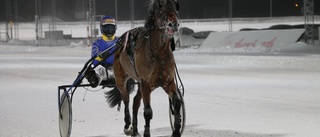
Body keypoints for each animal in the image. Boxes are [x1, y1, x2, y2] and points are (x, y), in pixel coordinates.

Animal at [105, 0, 181, 136]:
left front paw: (176, 131)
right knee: (126, 99)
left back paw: (135, 130)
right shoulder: (146, 84)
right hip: (121, 79)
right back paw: (128, 126)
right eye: (161, 10)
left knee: (135, 102)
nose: (173, 24)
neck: (159, 54)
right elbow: (148, 111)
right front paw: (146, 132)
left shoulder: (168, 82)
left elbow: (177, 102)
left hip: (140, 83)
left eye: (175, 9)